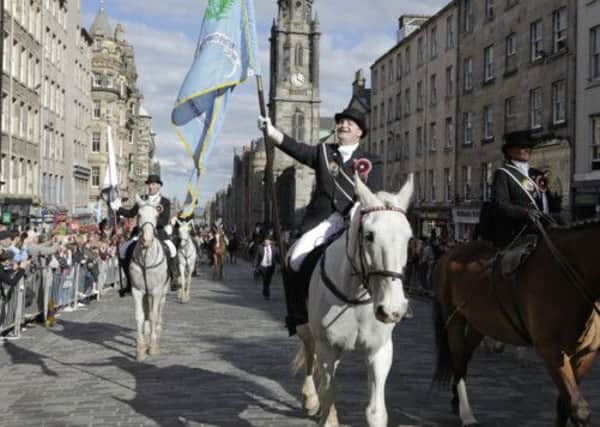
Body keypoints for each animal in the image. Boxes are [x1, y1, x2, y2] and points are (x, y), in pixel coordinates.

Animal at [294, 174, 412, 427]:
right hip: (305, 326)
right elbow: (328, 395)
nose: (393, 310)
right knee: (309, 350)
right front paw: (323, 410)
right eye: (369, 235)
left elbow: (375, 412)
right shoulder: (327, 347)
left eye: (409, 237)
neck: (353, 296)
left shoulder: (379, 351)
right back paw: (310, 398)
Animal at [434, 221, 600, 427]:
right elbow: (579, 409)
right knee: (457, 361)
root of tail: (448, 254)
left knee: (464, 359)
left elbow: (565, 406)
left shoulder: (586, 354)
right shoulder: (552, 353)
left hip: (477, 324)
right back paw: (467, 414)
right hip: (454, 319)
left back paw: (456, 402)